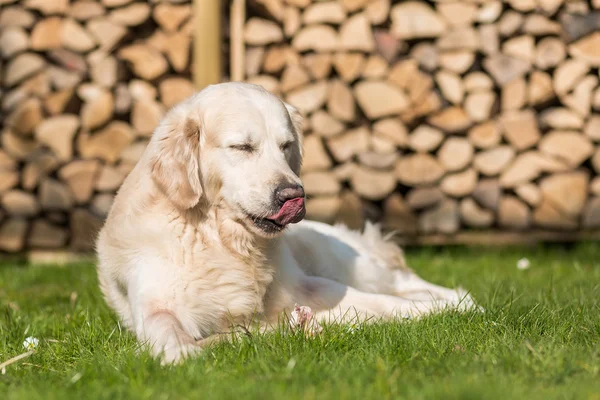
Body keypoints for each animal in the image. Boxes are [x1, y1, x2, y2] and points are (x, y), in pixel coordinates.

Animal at [95, 83, 478, 364]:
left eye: (286, 145)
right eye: (242, 147)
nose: (293, 194)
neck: (222, 241)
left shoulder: (308, 286)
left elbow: (384, 304)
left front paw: (436, 312)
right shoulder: (155, 304)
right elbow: (169, 334)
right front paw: (193, 350)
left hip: (348, 262)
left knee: (406, 284)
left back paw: (458, 302)